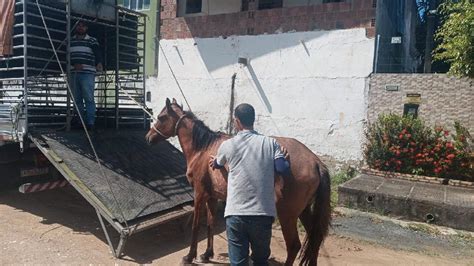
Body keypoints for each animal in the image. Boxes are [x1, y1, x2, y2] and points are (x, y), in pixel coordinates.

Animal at [144, 98, 330, 266]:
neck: (203, 149)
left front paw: (190, 257)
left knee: (294, 245)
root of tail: (315, 162)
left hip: (287, 215)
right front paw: (207, 254)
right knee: (315, 238)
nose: (148, 137)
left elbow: (196, 226)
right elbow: (210, 224)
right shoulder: (212, 197)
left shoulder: (199, 194)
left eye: (161, 117)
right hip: (303, 211)